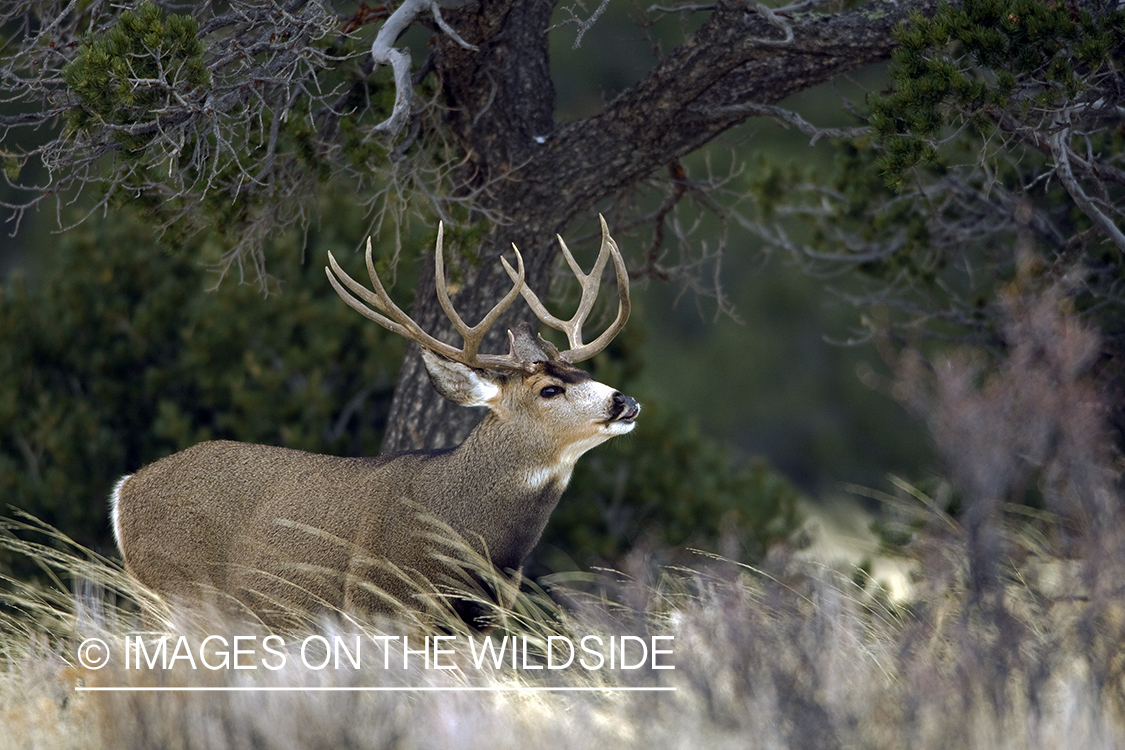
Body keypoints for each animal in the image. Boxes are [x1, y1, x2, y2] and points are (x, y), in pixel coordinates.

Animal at [110, 217, 639, 627]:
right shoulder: (374, 603)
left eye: (585, 373)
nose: (625, 400)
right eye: (549, 390)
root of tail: (124, 489)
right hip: (175, 588)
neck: (475, 540)